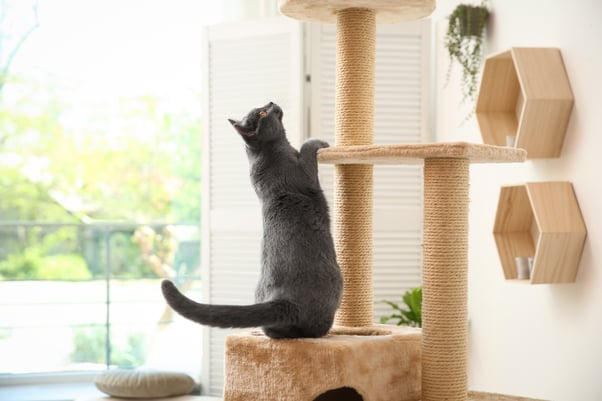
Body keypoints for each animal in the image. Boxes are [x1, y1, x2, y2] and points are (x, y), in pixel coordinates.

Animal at [161, 101, 342, 338]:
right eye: (263, 113)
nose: (271, 102)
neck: (269, 151)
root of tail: (283, 301)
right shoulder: (304, 174)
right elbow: (306, 148)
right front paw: (319, 142)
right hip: (335, 283)